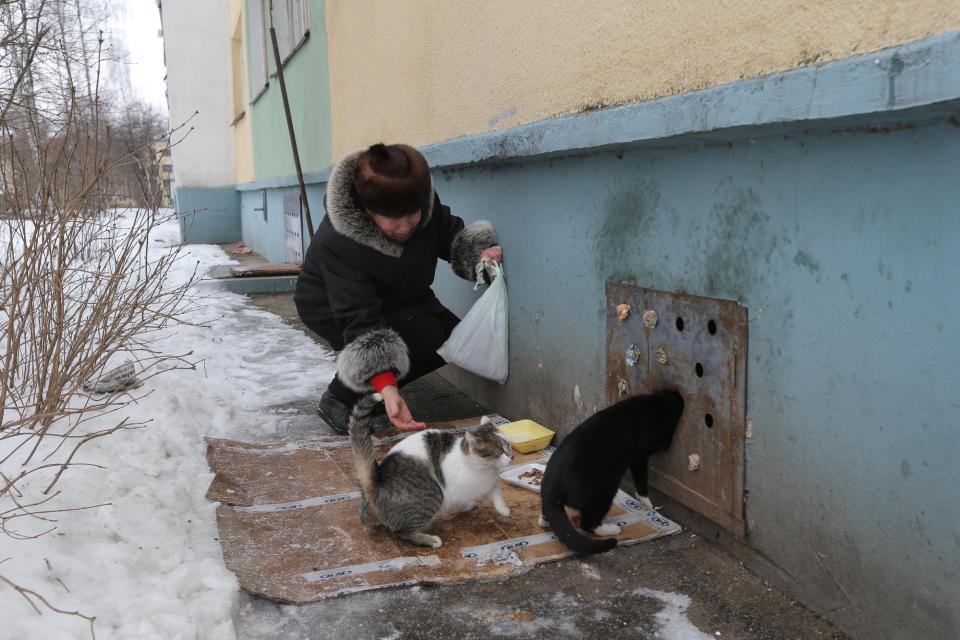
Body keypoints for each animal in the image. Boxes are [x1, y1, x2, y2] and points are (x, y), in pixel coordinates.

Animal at [348, 398, 512, 548]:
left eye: (509, 445)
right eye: (499, 450)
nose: (512, 456)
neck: (484, 468)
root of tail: (376, 482)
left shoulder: (490, 483)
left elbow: (496, 494)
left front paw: (503, 510)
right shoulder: (456, 493)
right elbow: (461, 502)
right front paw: (468, 506)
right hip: (433, 493)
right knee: (402, 532)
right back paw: (430, 540)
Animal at [536, 390, 688, 556]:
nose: (679, 396)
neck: (651, 404)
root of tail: (552, 491)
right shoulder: (640, 455)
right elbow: (641, 476)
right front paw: (646, 501)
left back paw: (544, 521)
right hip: (605, 489)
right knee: (588, 522)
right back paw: (612, 529)